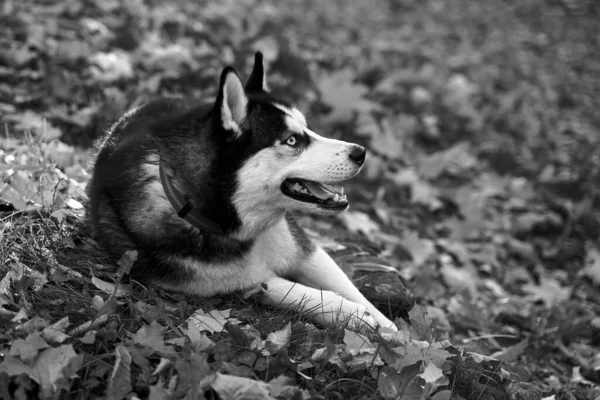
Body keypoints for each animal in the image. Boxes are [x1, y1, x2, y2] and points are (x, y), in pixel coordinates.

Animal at [88, 53, 398, 332]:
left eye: (307, 128)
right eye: (292, 140)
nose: (360, 153)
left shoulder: (305, 250)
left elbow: (355, 293)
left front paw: (393, 331)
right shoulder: (234, 283)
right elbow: (293, 291)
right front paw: (350, 313)